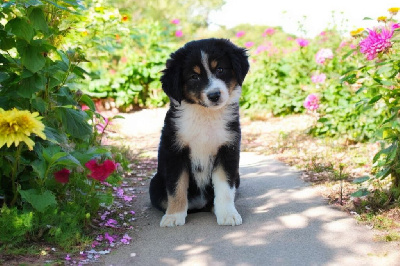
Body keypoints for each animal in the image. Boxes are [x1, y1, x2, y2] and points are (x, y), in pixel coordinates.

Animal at [150, 39, 250, 227]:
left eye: (220, 69)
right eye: (194, 77)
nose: (214, 95)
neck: (205, 115)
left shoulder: (228, 150)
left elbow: (225, 188)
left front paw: (228, 214)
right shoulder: (174, 151)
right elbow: (176, 187)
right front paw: (174, 216)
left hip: (238, 176)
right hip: (155, 184)